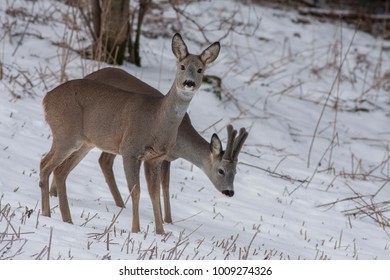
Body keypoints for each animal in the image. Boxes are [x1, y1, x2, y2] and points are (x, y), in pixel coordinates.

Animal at [41, 33, 221, 234]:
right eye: (182, 66)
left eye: (200, 69)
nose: (189, 83)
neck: (156, 121)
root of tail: (46, 98)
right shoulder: (130, 150)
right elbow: (136, 191)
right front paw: (136, 230)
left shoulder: (155, 158)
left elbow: (154, 193)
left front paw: (161, 232)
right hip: (66, 134)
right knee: (47, 166)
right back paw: (50, 215)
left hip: (84, 142)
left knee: (56, 169)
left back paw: (62, 218)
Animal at [50, 67, 248, 223]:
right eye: (221, 170)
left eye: (236, 171)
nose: (229, 191)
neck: (181, 136)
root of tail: (91, 74)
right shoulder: (158, 154)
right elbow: (162, 187)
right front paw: (165, 220)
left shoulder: (166, 158)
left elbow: (165, 186)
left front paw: (167, 220)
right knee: (98, 160)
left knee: (98, 160)